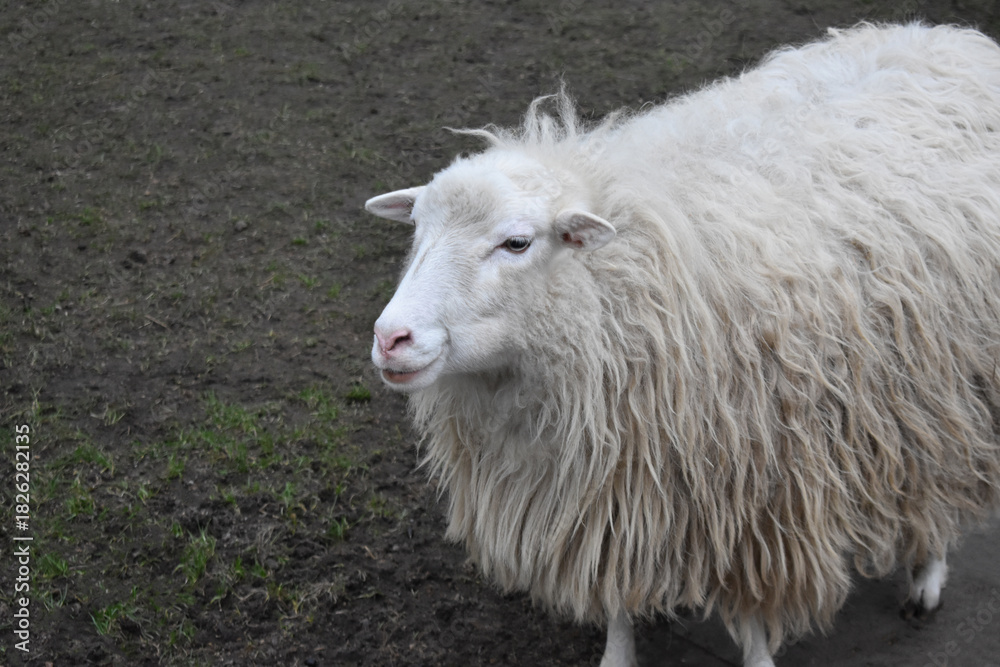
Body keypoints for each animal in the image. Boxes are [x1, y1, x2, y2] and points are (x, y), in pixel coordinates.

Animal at [364, 23, 1000, 667]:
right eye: (417, 229)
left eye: (516, 243)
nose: (390, 339)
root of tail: (945, 37)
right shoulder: (612, 486)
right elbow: (616, 589)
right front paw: (618, 655)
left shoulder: (755, 488)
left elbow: (751, 608)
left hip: (950, 379)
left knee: (943, 473)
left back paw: (927, 574)